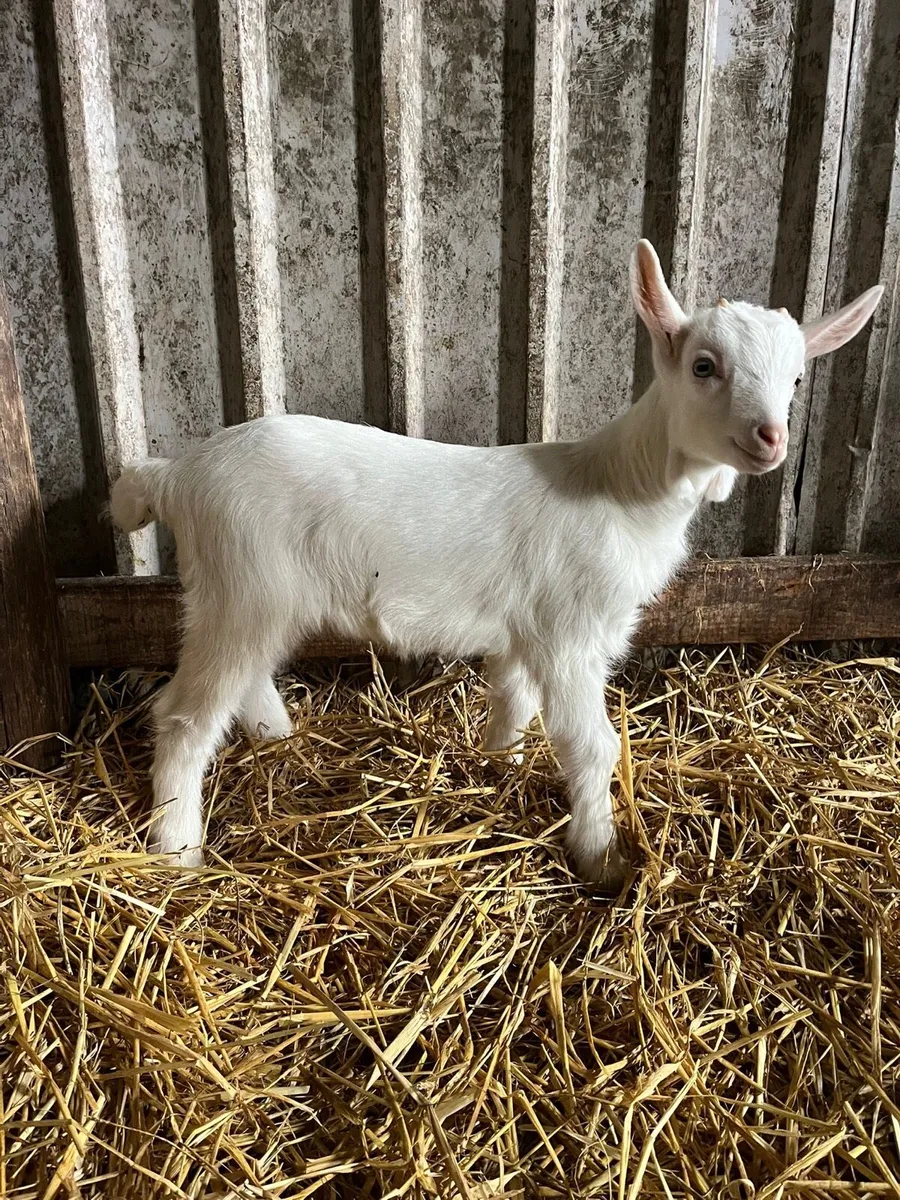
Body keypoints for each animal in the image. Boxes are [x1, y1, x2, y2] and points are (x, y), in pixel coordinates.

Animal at [110, 241, 882, 886]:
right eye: (704, 367)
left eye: (797, 377)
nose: (770, 438)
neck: (622, 486)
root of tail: (174, 474)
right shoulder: (570, 633)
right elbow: (591, 745)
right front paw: (599, 856)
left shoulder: (524, 628)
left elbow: (513, 700)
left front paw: (498, 766)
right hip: (243, 586)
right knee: (183, 715)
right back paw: (176, 852)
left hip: (252, 596)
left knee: (242, 682)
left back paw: (279, 740)